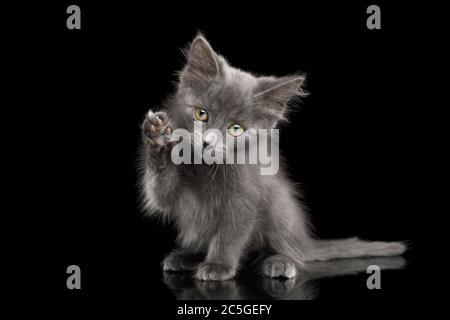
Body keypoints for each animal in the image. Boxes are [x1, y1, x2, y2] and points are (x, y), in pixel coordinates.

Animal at [137, 33, 404, 282]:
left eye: (236, 129)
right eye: (201, 114)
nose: (206, 142)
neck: (205, 166)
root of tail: (304, 242)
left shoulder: (246, 197)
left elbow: (230, 234)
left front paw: (218, 266)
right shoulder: (174, 193)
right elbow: (161, 193)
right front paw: (158, 137)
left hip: (280, 206)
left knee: (291, 251)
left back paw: (279, 262)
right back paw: (185, 257)